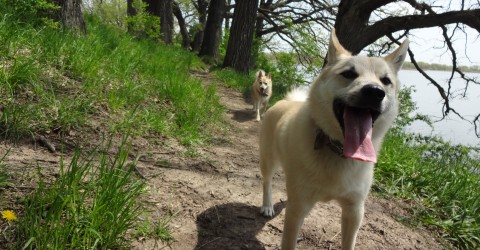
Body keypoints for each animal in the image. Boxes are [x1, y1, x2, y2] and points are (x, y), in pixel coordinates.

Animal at [258, 29, 408, 250]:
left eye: (386, 81)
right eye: (349, 74)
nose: (375, 91)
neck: (338, 149)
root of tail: (284, 101)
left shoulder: (354, 211)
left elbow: (349, 243)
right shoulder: (297, 211)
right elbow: (289, 242)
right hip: (269, 161)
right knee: (267, 182)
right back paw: (267, 205)